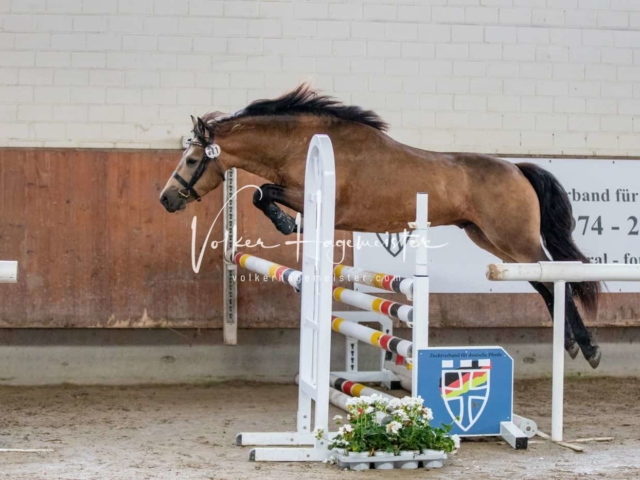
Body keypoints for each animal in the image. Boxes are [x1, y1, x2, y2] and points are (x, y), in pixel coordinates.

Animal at [159, 84, 600, 368]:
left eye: (192, 160)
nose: (166, 199)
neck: (301, 143)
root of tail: (517, 169)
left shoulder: (317, 198)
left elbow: (263, 193)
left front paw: (285, 223)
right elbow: (262, 194)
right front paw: (288, 223)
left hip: (514, 238)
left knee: (556, 276)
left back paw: (589, 348)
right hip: (490, 240)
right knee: (542, 282)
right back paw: (571, 344)